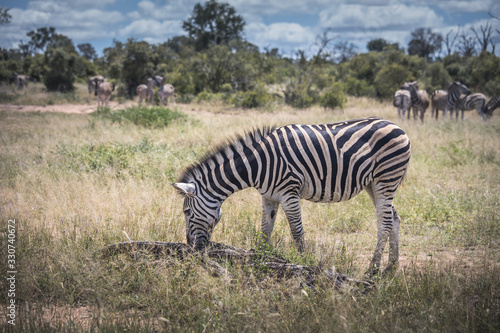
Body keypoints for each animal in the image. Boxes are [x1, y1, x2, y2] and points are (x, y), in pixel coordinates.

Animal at [174, 116, 412, 274]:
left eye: (186, 212)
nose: (190, 247)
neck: (258, 165)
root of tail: (397, 126)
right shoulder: (269, 197)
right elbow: (265, 230)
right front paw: (259, 258)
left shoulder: (290, 193)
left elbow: (297, 232)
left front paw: (304, 263)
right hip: (373, 184)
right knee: (394, 218)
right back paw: (391, 266)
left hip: (385, 178)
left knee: (384, 223)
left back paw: (373, 269)